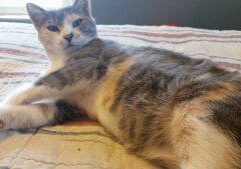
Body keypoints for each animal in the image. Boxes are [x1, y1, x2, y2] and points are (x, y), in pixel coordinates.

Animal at [0, 0, 241, 168]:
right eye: (52, 27)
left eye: (77, 22)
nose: (68, 35)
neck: (61, 60)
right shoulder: (69, 106)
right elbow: (34, 111)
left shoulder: (85, 66)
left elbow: (37, 84)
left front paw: (7, 100)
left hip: (200, 116)